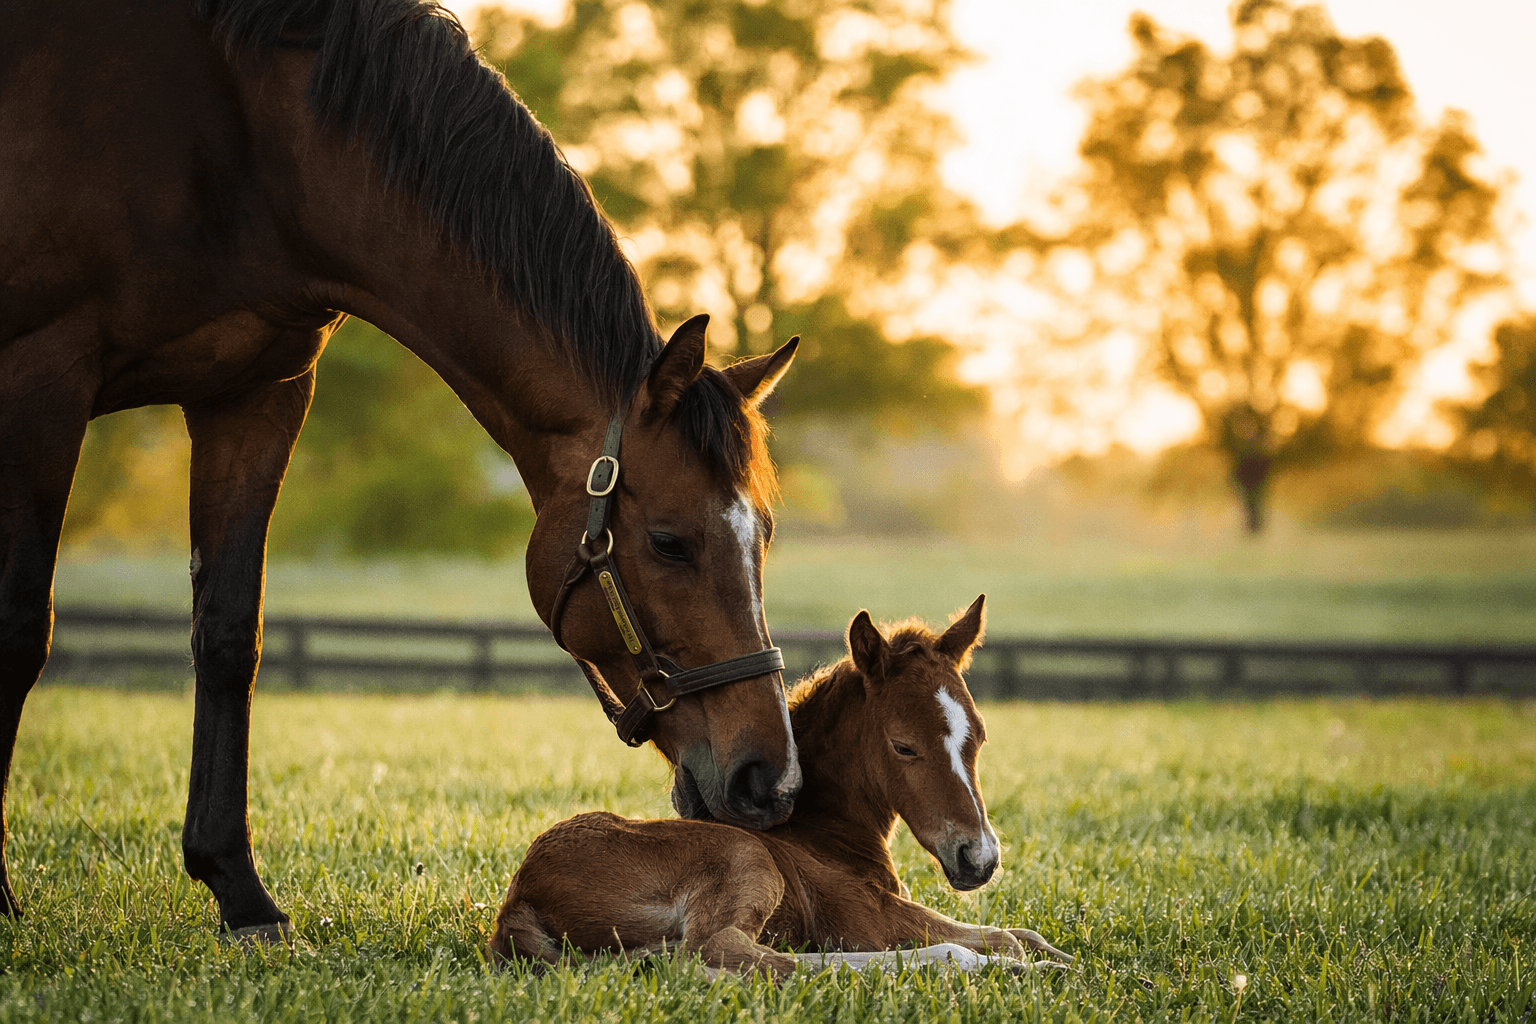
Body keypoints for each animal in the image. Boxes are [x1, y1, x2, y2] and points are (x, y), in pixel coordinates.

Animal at [0, 0, 804, 940]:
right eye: (671, 541)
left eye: (763, 536)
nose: (772, 780)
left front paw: (241, 892)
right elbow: (21, 628)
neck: (242, 142)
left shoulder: (257, 393)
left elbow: (229, 634)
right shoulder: (42, 376)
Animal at [488, 597, 1074, 980]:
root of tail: (518, 896)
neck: (820, 834)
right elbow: (1007, 937)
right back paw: (963, 965)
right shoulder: (871, 915)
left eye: (979, 736)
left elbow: (1026, 934)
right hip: (746, 858)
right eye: (904, 746)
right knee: (722, 953)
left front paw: (1072, 959)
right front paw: (1023, 963)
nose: (979, 859)